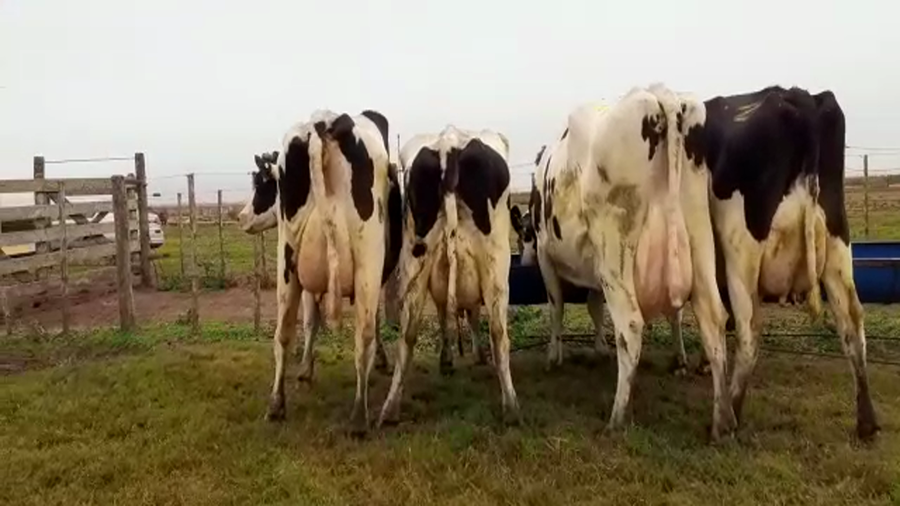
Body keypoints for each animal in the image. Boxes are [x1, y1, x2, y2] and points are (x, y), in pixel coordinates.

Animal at [238, 109, 402, 436]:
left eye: (263, 187)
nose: (241, 216)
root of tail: (325, 121)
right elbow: (370, 323)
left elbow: (310, 322)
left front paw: (304, 370)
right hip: (367, 262)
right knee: (364, 334)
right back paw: (359, 416)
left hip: (288, 263)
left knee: (283, 332)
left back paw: (276, 404)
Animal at [378, 125, 521, 426]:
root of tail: (449, 143)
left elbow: (445, 314)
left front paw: (447, 360)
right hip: (496, 265)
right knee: (499, 332)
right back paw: (512, 406)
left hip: (415, 262)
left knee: (407, 334)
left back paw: (390, 409)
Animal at [509, 84, 735, 440]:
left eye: (526, 236)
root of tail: (659, 95)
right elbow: (593, 306)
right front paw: (599, 350)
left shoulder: (547, 254)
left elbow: (557, 305)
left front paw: (553, 357)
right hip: (700, 242)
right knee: (714, 320)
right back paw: (722, 420)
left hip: (615, 254)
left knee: (630, 325)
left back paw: (617, 417)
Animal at [695, 86, 878, 440]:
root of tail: (799, 96)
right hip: (837, 242)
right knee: (851, 320)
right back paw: (867, 421)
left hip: (741, 248)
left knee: (750, 326)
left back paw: (730, 414)